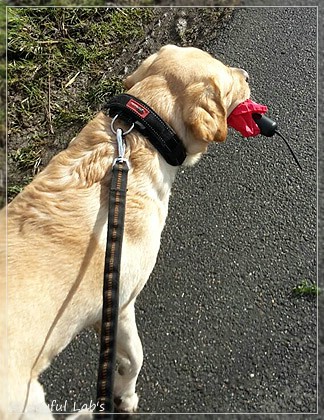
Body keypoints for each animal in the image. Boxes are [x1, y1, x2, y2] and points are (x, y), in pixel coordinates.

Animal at [1, 44, 251, 418]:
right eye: (229, 83)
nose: (247, 75)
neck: (136, 139)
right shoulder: (119, 305)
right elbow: (135, 359)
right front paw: (124, 396)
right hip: (27, 401)